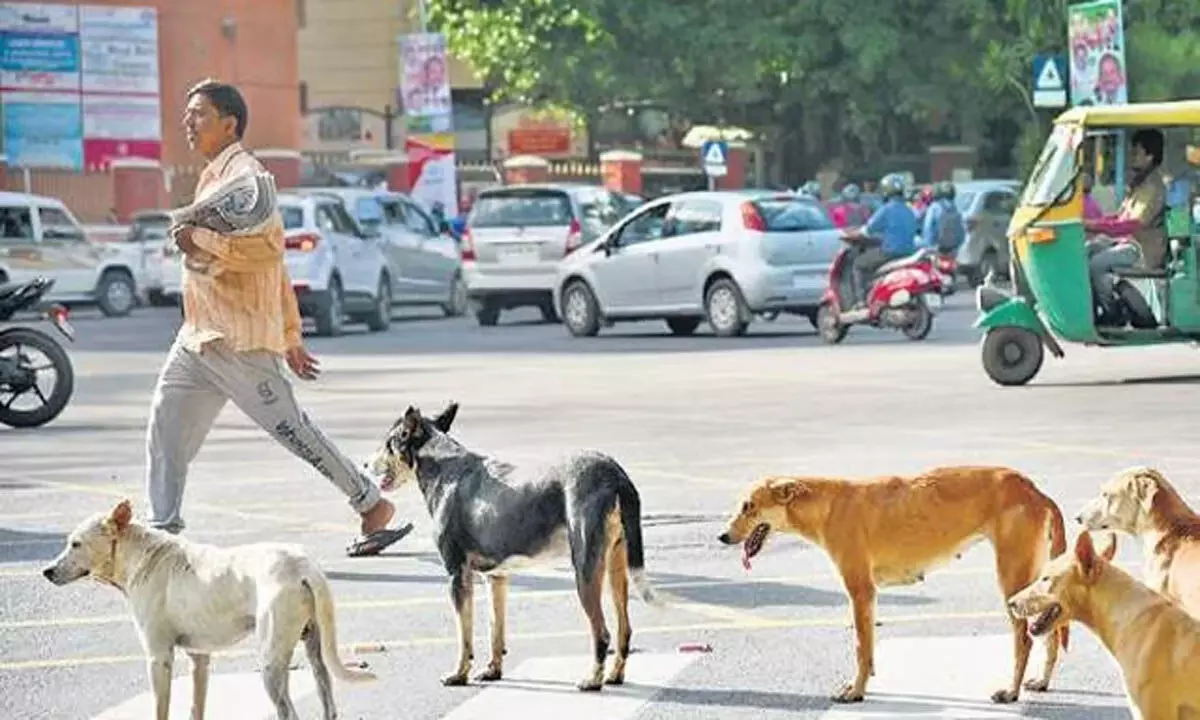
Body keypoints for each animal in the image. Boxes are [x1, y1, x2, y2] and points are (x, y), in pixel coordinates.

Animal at [44, 501, 374, 720]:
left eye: (76, 544)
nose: (46, 572)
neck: (142, 554)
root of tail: (302, 565)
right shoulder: (199, 658)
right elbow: (196, 706)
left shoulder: (159, 658)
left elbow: (161, 709)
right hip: (315, 651)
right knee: (327, 698)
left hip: (270, 662)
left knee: (288, 712)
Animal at [367, 403, 662, 691]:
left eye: (389, 443)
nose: (365, 463)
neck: (444, 467)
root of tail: (615, 474)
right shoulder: (496, 577)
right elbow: (495, 630)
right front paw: (492, 671)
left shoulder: (457, 576)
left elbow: (464, 636)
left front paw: (459, 674)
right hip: (616, 568)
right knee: (624, 629)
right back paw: (614, 675)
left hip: (586, 571)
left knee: (602, 633)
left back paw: (593, 680)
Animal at [720, 468, 1070, 700]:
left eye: (748, 506)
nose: (722, 536)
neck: (829, 505)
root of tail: (1034, 490)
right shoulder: (867, 597)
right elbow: (869, 649)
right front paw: (864, 682)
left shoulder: (861, 591)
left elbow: (860, 647)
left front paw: (856, 691)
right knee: (1051, 633)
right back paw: (1041, 682)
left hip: (1012, 582)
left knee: (1024, 640)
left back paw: (1011, 692)